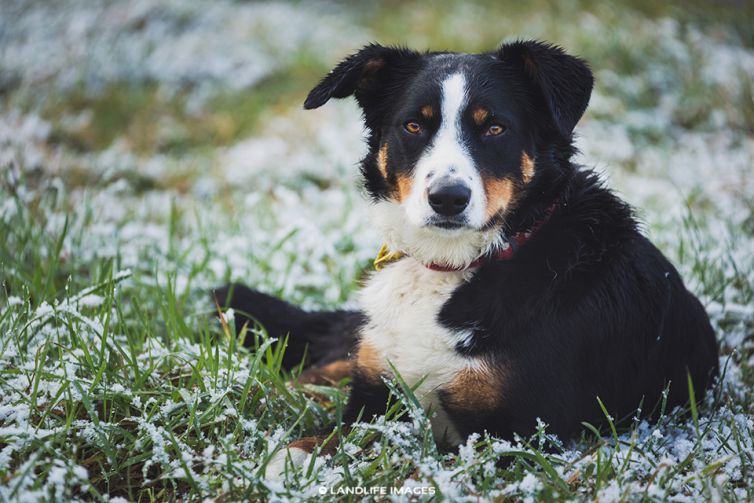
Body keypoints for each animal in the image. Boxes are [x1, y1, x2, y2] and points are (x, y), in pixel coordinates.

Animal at [213, 39, 716, 476]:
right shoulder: (376, 390)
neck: (455, 267)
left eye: (494, 126)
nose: (448, 198)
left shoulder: (517, 435)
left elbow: (380, 444)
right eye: (414, 125)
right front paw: (291, 455)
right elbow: (346, 429)